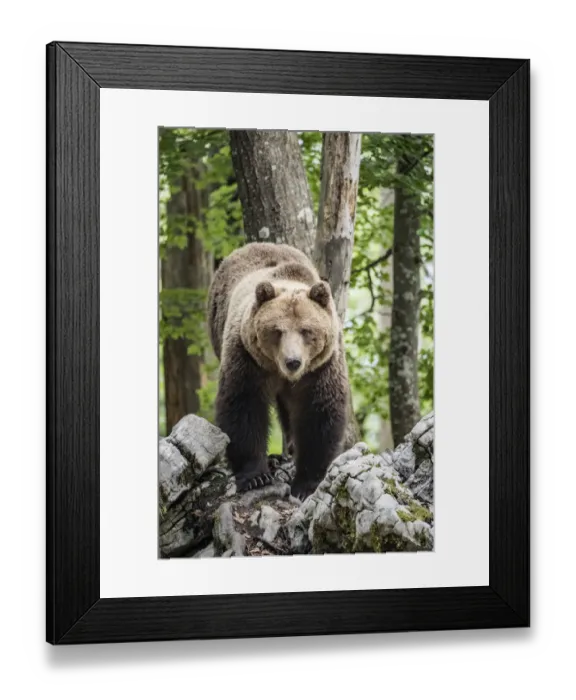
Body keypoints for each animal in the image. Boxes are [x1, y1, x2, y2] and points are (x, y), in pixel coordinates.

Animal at [208, 241, 350, 500]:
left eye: (307, 331)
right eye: (276, 331)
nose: (293, 361)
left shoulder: (320, 368)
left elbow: (318, 414)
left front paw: (306, 484)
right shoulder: (247, 358)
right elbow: (244, 406)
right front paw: (256, 476)